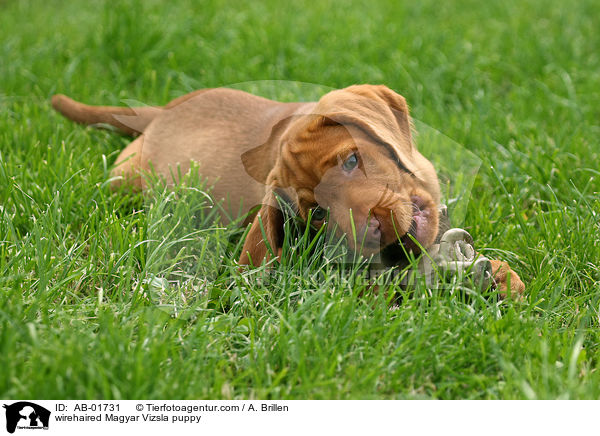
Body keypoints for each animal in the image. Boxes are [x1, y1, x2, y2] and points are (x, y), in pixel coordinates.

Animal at [52, 84, 524, 296]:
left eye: (351, 161)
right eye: (317, 215)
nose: (372, 228)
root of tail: (158, 113)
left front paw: (501, 276)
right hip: (128, 182)